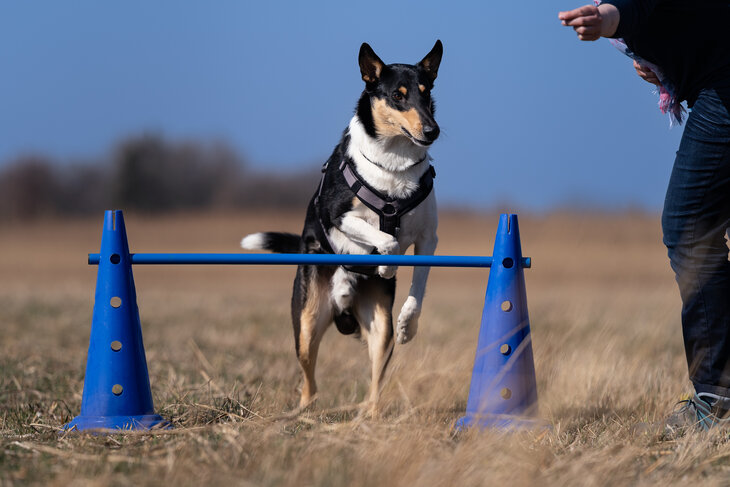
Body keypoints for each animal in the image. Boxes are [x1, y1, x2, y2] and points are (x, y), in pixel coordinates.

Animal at [242, 41, 440, 412]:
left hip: (379, 326)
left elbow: (417, 288)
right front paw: (386, 266)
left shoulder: (427, 239)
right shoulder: (338, 214)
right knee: (309, 380)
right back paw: (304, 411)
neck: (394, 164)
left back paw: (370, 414)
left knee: (376, 377)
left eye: (427, 93)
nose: (432, 130)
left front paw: (409, 325)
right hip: (307, 321)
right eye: (398, 95)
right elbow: (387, 240)